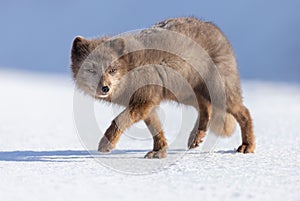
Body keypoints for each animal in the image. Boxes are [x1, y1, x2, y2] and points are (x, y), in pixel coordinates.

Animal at [71, 16, 255, 159]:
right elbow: (156, 129)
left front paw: (106, 144)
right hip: (185, 94)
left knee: (244, 112)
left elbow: (118, 120)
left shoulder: (143, 101)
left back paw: (248, 146)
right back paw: (196, 137)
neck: (131, 67)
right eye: (91, 70)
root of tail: (214, 28)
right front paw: (159, 151)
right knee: (206, 109)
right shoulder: (148, 105)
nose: (105, 88)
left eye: (112, 70)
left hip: (216, 92)